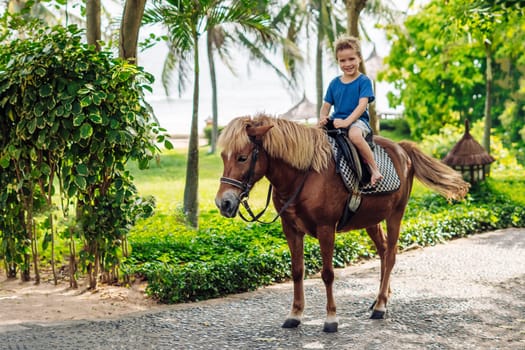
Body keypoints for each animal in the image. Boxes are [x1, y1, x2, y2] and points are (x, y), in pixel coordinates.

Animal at [215, 115, 468, 334]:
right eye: (223, 157)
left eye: (242, 157)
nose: (223, 203)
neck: (302, 176)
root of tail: (402, 148)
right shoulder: (291, 229)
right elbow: (297, 270)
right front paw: (295, 314)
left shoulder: (326, 228)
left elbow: (327, 274)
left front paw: (331, 319)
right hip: (372, 220)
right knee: (384, 251)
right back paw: (382, 297)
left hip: (396, 214)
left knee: (391, 255)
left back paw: (380, 306)